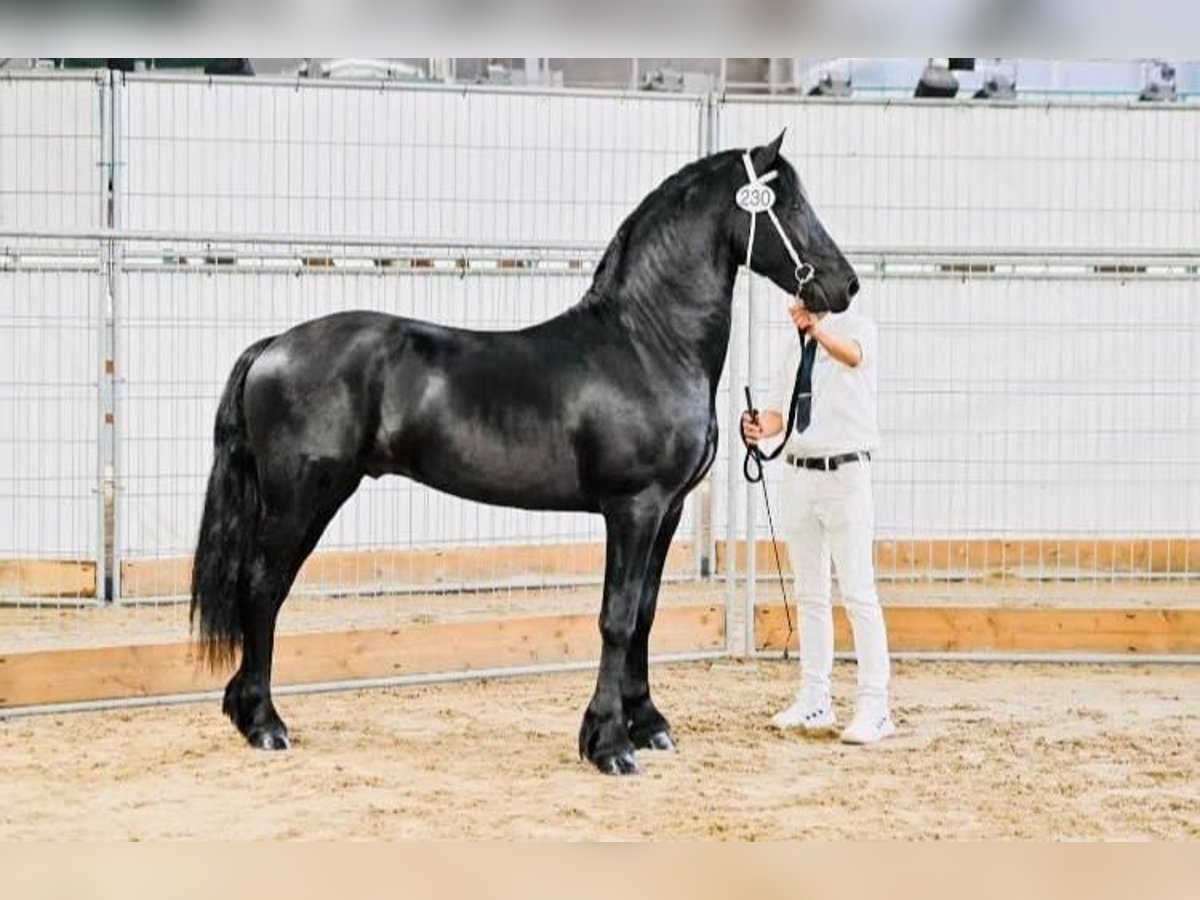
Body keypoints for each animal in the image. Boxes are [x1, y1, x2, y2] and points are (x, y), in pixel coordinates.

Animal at [189, 132, 854, 777]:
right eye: (789, 205)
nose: (845, 286)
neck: (646, 345)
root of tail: (276, 344)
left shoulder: (667, 511)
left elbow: (644, 613)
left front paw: (649, 724)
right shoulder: (633, 508)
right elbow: (615, 618)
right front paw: (609, 745)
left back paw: (249, 716)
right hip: (303, 498)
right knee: (262, 588)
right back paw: (265, 725)